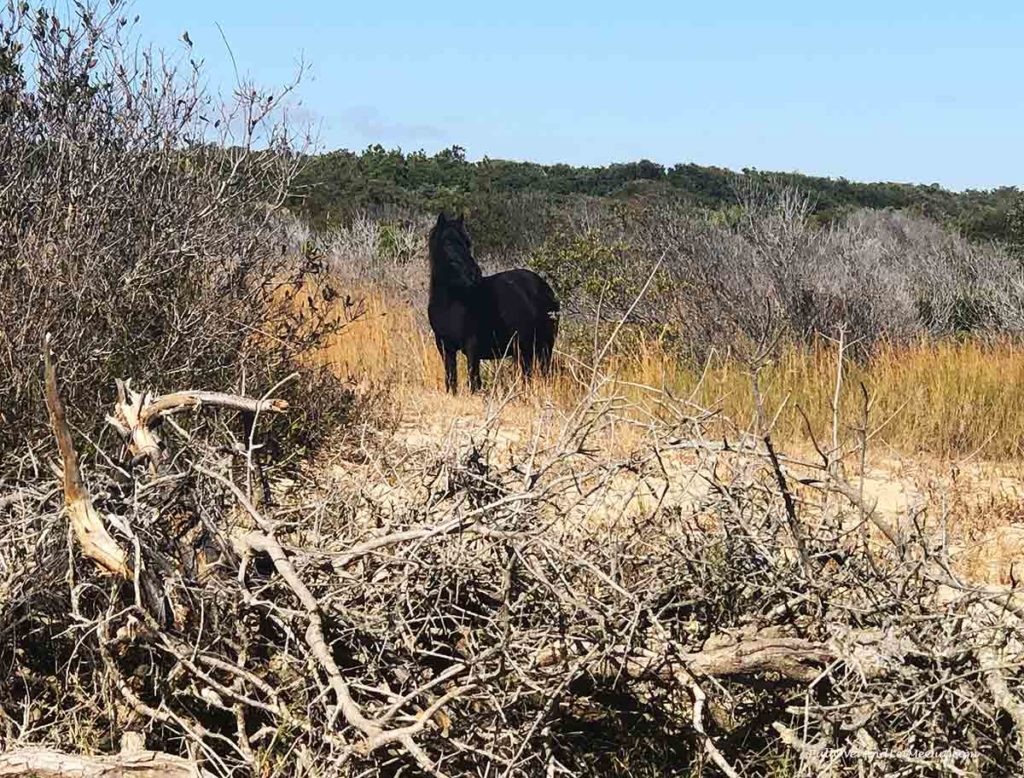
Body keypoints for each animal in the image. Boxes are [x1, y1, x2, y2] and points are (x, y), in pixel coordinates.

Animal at [425, 212, 561, 391]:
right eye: (448, 242)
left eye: (467, 243)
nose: (474, 273)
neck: (450, 304)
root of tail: (546, 289)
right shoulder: (445, 347)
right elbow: (451, 381)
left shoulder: (472, 347)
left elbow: (474, 381)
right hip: (525, 350)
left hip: (545, 347)